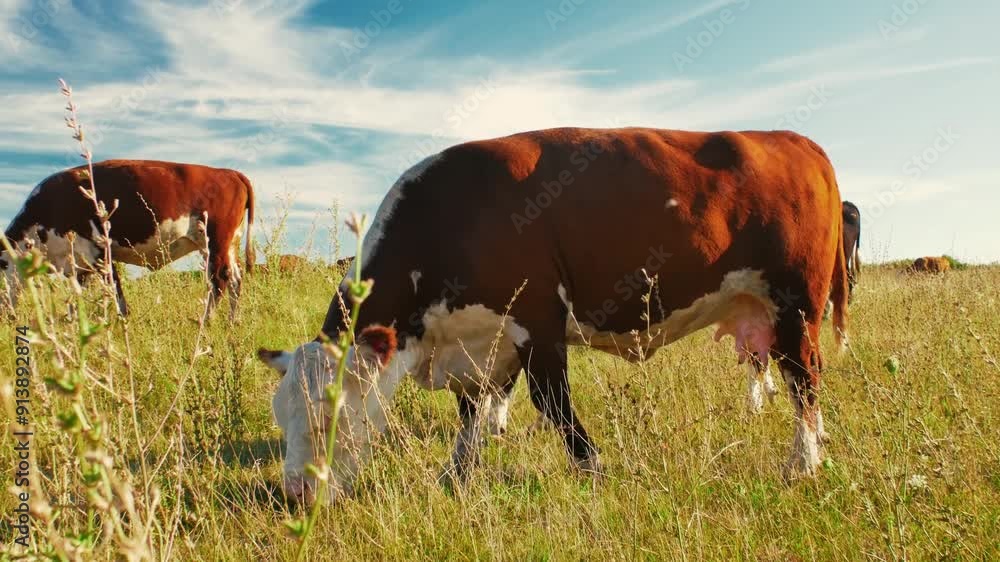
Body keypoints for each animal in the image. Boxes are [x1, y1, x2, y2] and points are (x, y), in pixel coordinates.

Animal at [1, 160, 255, 318]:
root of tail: (229, 173)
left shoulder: (99, 252)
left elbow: (115, 289)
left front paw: (122, 320)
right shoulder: (78, 264)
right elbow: (77, 297)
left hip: (216, 241)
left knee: (219, 280)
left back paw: (206, 321)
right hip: (225, 245)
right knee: (235, 278)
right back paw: (232, 322)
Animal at [258, 127, 849, 502]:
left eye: (329, 417)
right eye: (282, 418)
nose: (294, 495)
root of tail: (794, 140)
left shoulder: (537, 323)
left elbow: (553, 404)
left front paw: (593, 469)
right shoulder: (480, 341)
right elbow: (472, 412)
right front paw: (456, 476)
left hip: (795, 308)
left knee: (804, 380)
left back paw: (804, 463)